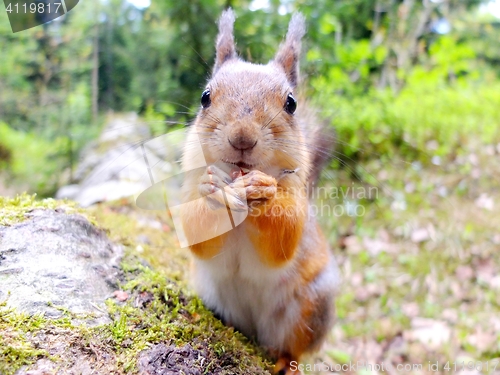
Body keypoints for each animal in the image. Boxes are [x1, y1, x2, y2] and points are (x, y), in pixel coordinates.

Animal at [180, 9, 340, 375]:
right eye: (205, 97)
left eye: (291, 103)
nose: (242, 137)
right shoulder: (187, 186)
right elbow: (196, 231)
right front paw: (212, 189)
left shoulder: (295, 199)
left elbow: (284, 237)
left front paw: (264, 190)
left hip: (312, 305)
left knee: (294, 347)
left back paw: (285, 361)